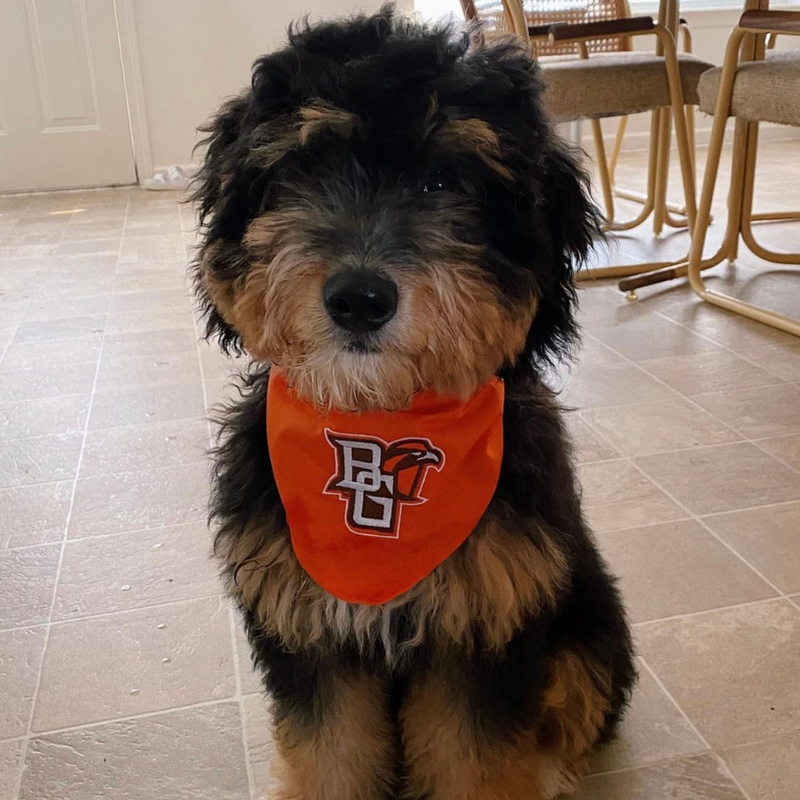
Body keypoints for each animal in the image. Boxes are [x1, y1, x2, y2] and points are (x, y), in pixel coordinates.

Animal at [191, 7, 636, 800]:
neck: (375, 427)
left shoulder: (489, 626)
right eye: (306, 167)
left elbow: (476, 761)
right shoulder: (307, 629)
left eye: (443, 178)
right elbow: (329, 755)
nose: (359, 299)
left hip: (590, 628)